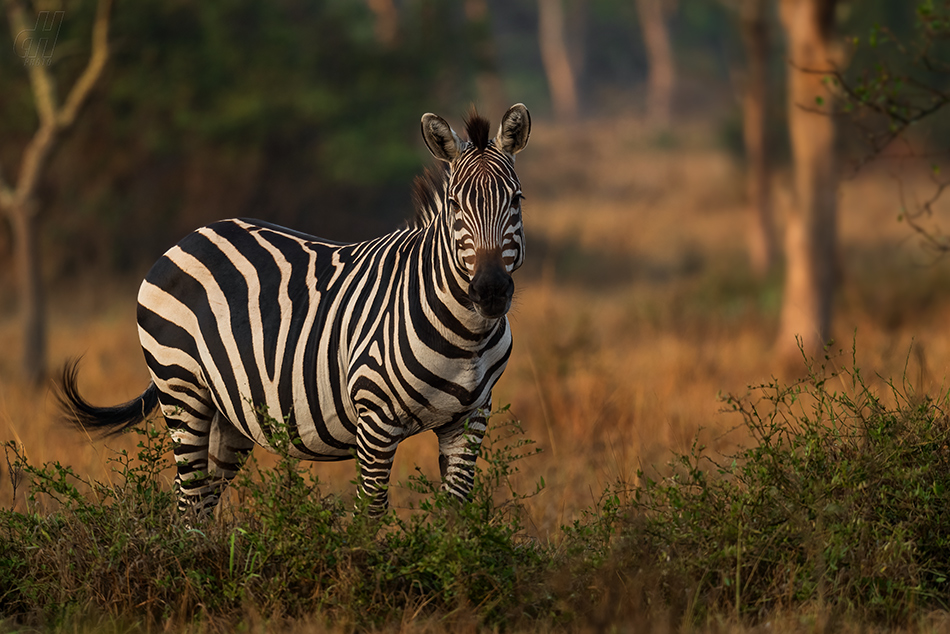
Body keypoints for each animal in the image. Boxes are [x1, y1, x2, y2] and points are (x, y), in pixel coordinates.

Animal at [57, 105, 536, 520]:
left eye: (517, 199)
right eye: (455, 205)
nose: (490, 290)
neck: (467, 336)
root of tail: (189, 237)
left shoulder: (469, 421)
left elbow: (456, 519)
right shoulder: (375, 418)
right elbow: (370, 515)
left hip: (228, 413)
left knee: (197, 500)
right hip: (181, 389)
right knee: (189, 500)